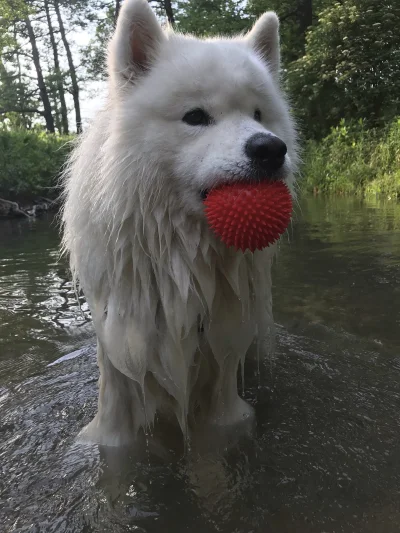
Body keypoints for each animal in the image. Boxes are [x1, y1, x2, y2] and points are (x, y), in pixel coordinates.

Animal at [62, 0, 296, 446]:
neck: (181, 264)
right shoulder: (120, 362)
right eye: (196, 116)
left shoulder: (223, 364)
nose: (271, 149)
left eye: (258, 114)